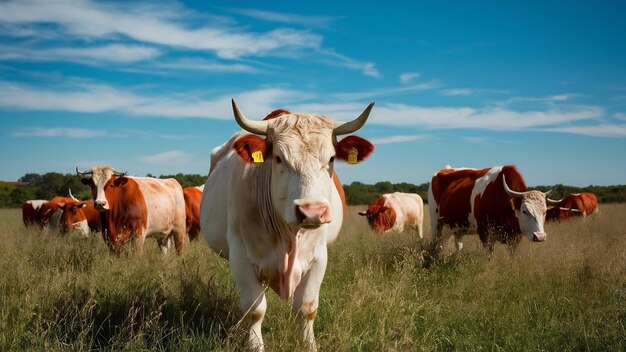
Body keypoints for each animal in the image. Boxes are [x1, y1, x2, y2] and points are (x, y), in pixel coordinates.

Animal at [201, 99, 376, 350]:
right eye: (278, 158)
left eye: (331, 159)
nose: (312, 212)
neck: (287, 237)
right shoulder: (240, 257)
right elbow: (255, 310)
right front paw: (255, 346)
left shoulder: (319, 257)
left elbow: (306, 308)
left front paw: (309, 345)